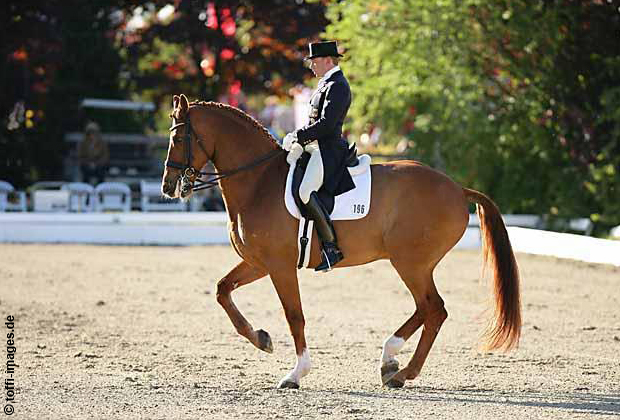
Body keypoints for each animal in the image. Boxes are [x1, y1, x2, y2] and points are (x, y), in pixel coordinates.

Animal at [162, 93, 520, 388]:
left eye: (178, 137)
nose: (168, 186)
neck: (259, 181)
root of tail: (458, 189)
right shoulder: (258, 262)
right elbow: (223, 290)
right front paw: (262, 339)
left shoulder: (280, 266)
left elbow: (295, 316)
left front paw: (296, 374)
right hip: (412, 265)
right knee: (426, 309)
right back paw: (390, 361)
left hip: (411, 264)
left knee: (434, 310)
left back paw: (402, 372)